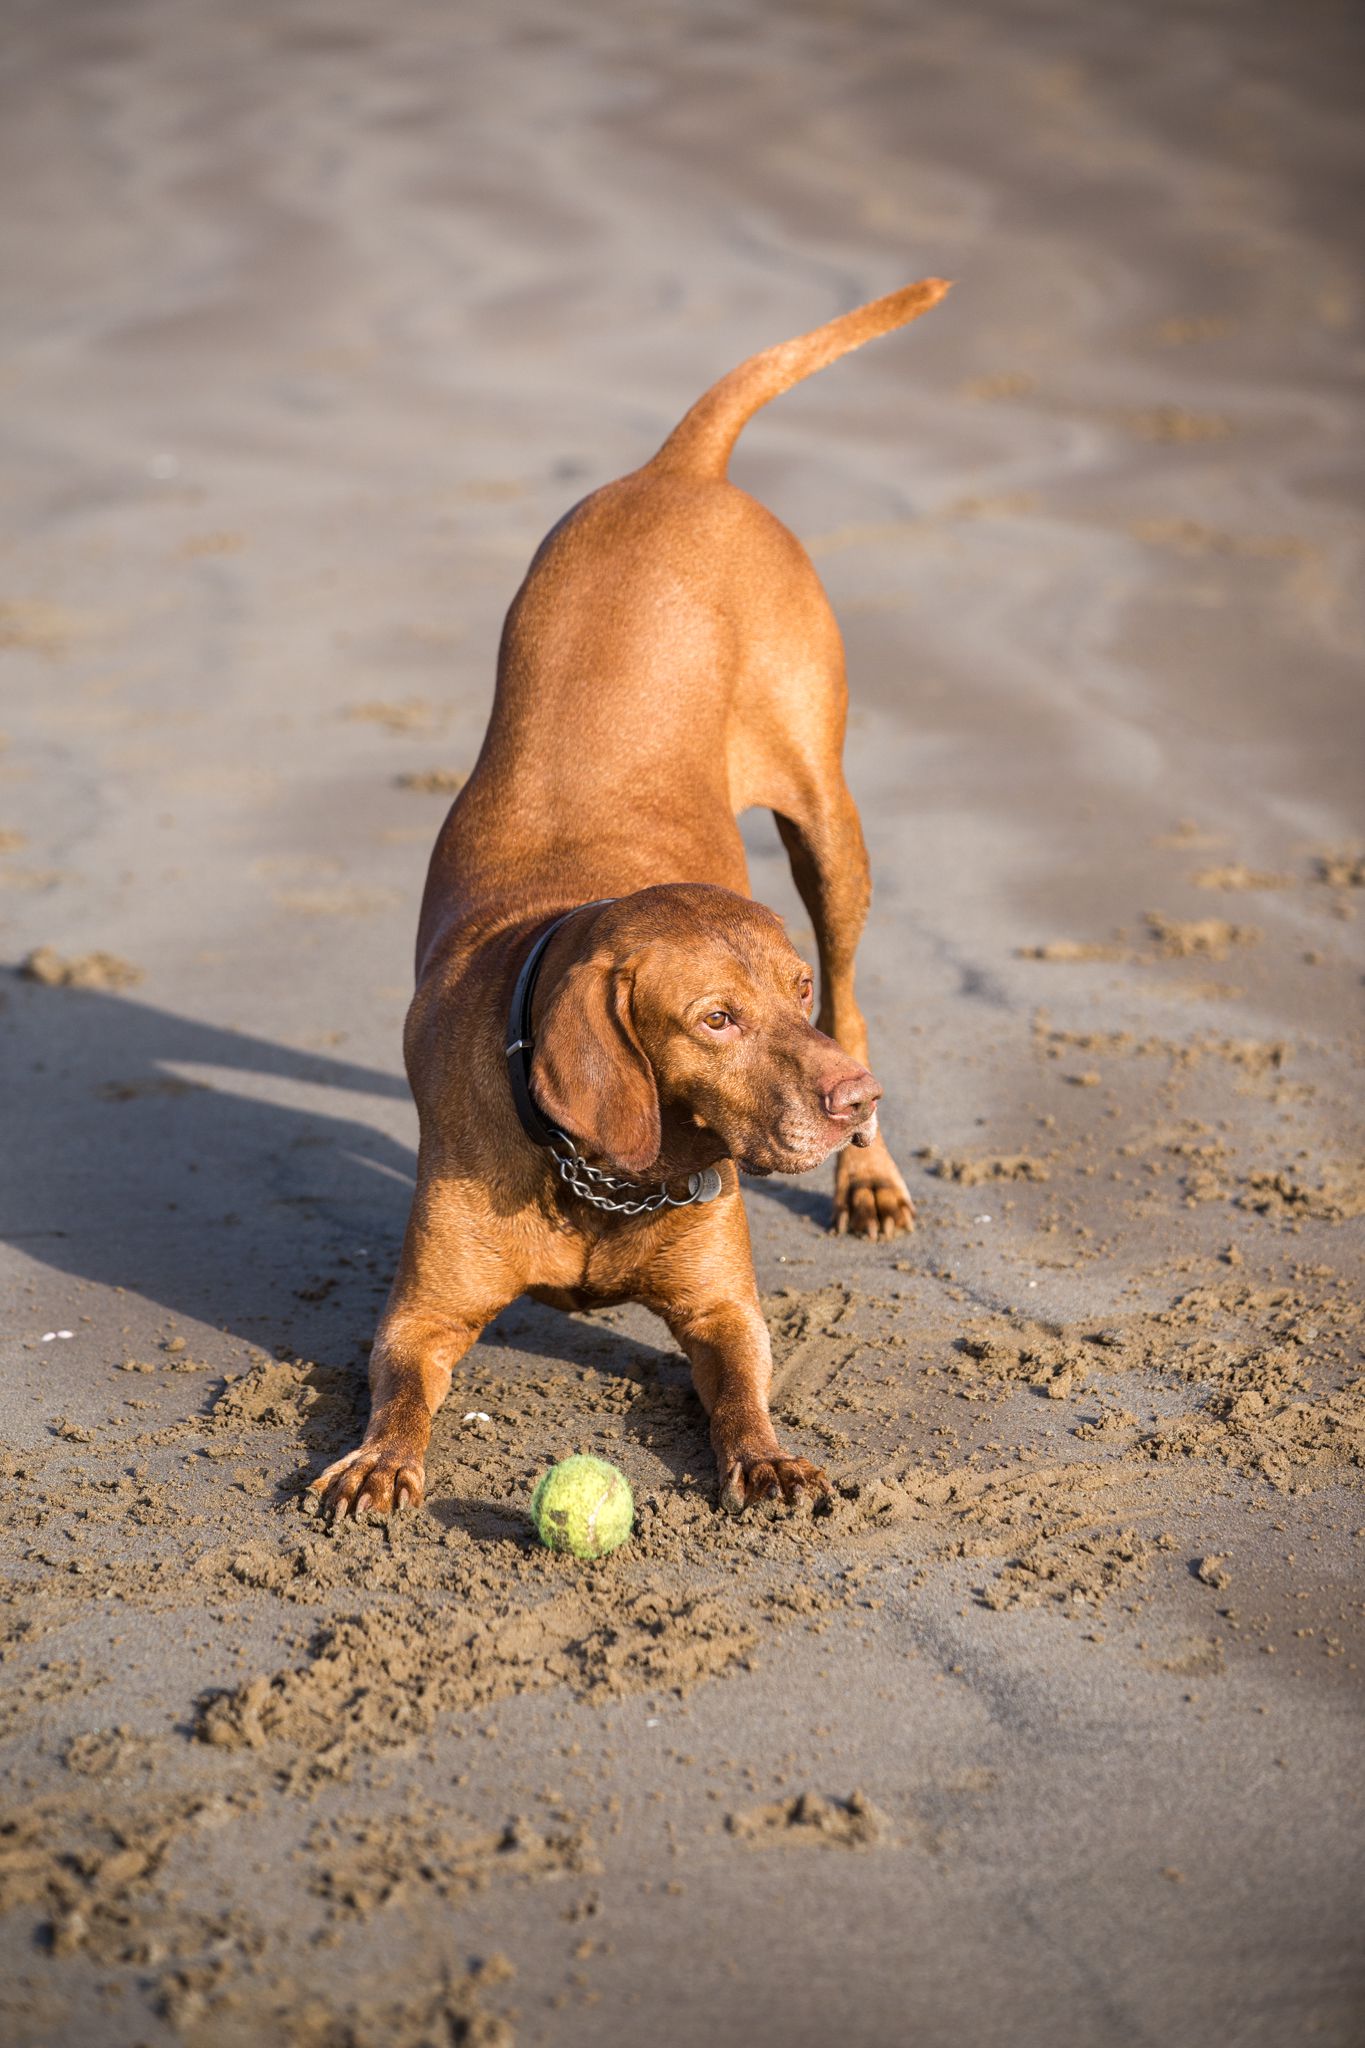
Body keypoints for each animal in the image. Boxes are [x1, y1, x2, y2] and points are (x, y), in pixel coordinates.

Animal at [309, 276, 949, 1523]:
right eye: (716, 1020)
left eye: (789, 993)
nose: (851, 1100)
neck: (601, 1174)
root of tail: (680, 469)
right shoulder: (422, 1312)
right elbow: (399, 1386)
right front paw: (378, 1460)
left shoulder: (720, 1304)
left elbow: (743, 1385)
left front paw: (768, 1456)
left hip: (829, 825)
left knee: (861, 981)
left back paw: (870, 1174)